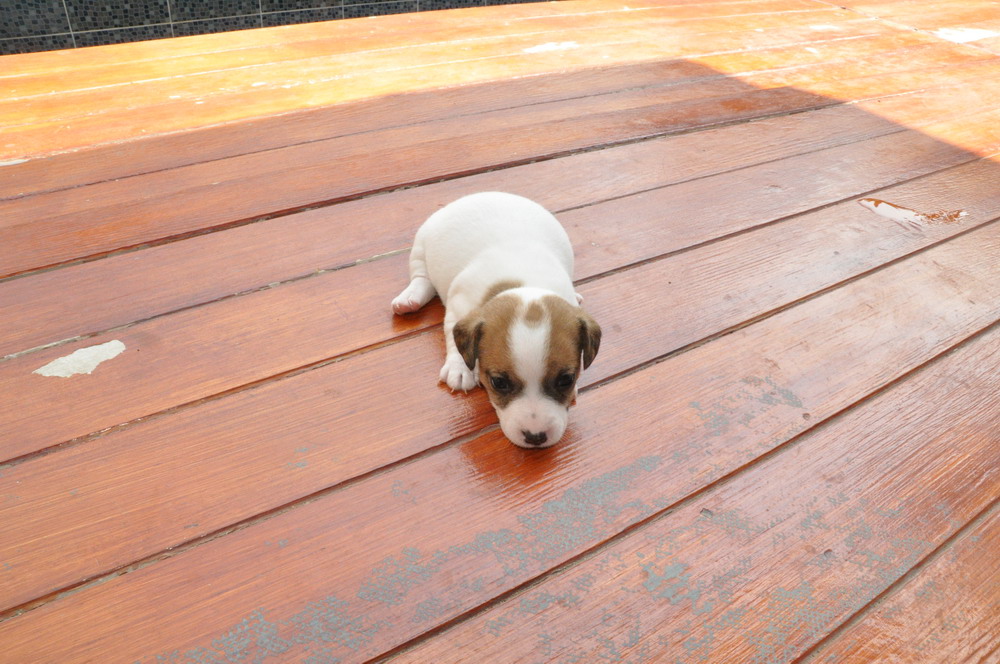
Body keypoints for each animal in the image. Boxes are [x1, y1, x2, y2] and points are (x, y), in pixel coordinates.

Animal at [391, 192, 601, 449]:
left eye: (566, 380)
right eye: (499, 383)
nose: (535, 437)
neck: (522, 284)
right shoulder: (457, 308)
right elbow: (453, 338)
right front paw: (460, 368)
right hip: (420, 247)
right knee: (422, 277)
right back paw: (410, 298)